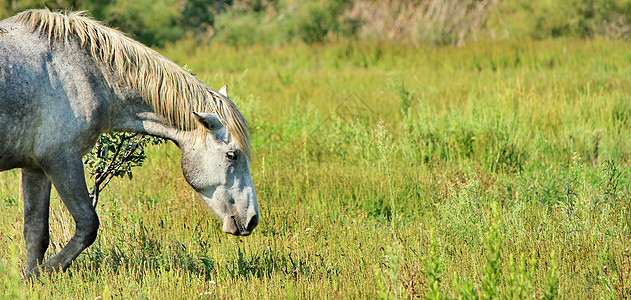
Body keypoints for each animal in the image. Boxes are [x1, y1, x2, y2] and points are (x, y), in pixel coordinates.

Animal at [0, 9, 260, 278]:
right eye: (232, 155)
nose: (252, 219)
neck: (85, 73)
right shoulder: (61, 160)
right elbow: (88, 225)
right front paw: (43, 273)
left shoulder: (36, 168)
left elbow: (36, 233)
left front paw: (30, 277)